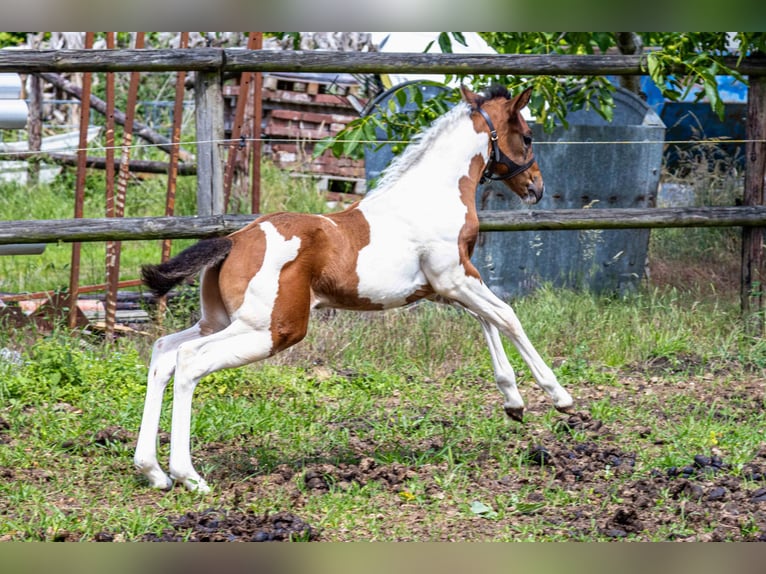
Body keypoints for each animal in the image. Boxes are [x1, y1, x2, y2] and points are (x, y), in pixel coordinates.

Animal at [134, 84, 574, 493]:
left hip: (221, 321)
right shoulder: (455, 276)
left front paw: (513, 402)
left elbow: (486, 322)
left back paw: (153, 471)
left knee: (164, 353)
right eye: (528, 136)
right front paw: (559, 397)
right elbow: (507, 317)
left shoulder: (445, 286)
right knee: (190, 360)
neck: (433, 193)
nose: (536, 187)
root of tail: (233, 240)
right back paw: (189, 476)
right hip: (272, 329)